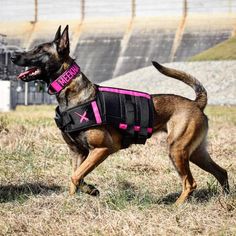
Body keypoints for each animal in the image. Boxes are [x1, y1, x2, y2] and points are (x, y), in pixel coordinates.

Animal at [10, 25, 229, 203]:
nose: (12, 56)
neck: (71, 92)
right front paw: (74, 200)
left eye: (39, 50)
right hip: (195, 153)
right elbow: (75, 178)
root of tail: (196, 103)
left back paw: (176, 206)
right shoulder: (77, 152)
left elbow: (75, 176)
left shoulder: (102, 149)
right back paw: (226, 199)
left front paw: (89, 191)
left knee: (190, 183)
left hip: (177, 150)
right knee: (222, 172)